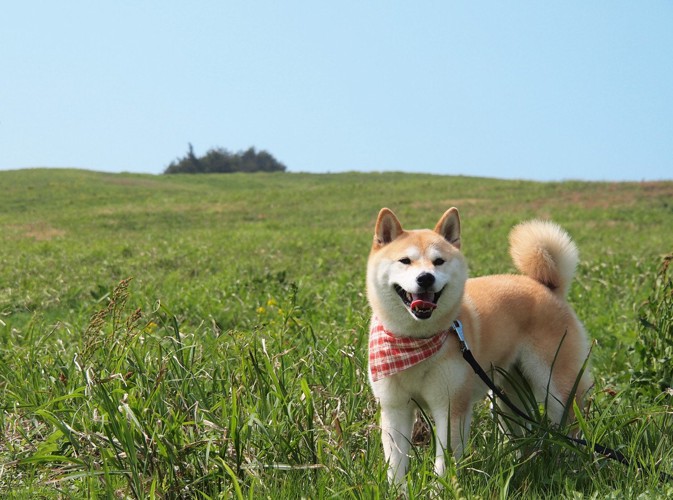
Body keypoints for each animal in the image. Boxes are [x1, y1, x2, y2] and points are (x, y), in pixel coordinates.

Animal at [364, 207, 592, 484]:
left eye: (438, 262)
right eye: (405, 261)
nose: (426, 278)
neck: (414, 342)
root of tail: (546, 287)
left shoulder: (450, 407)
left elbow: (445, 462)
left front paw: (441, 490)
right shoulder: (395, 409)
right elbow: (395, 466)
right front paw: (397, 490)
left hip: (555, 385)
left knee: (572, 426)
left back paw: (572, 464)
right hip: (508, 397)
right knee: (521, 431)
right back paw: (521, 463)